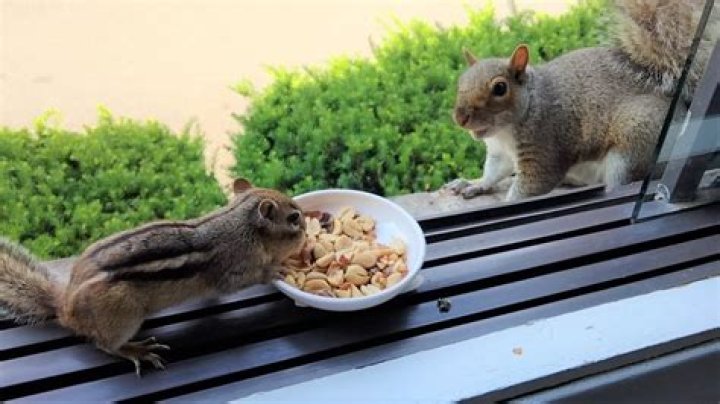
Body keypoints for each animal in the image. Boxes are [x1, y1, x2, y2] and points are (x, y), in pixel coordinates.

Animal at [0, 178, 305, 375]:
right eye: (293, 219)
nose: (305, 231)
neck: (240, 224)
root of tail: (65, 307)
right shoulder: (233, 267)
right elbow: (241, 280)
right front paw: (273, 270)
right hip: (123, 313)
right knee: (104, 344)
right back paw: (137, 351)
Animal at [444, 0, 720, 201]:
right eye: (460, 82)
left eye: (500, 88)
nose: (460, 118)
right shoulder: (500, 153)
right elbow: (493, 173)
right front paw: (475, 184)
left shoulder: (544, 143)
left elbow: (531, 186)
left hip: (635, 145)